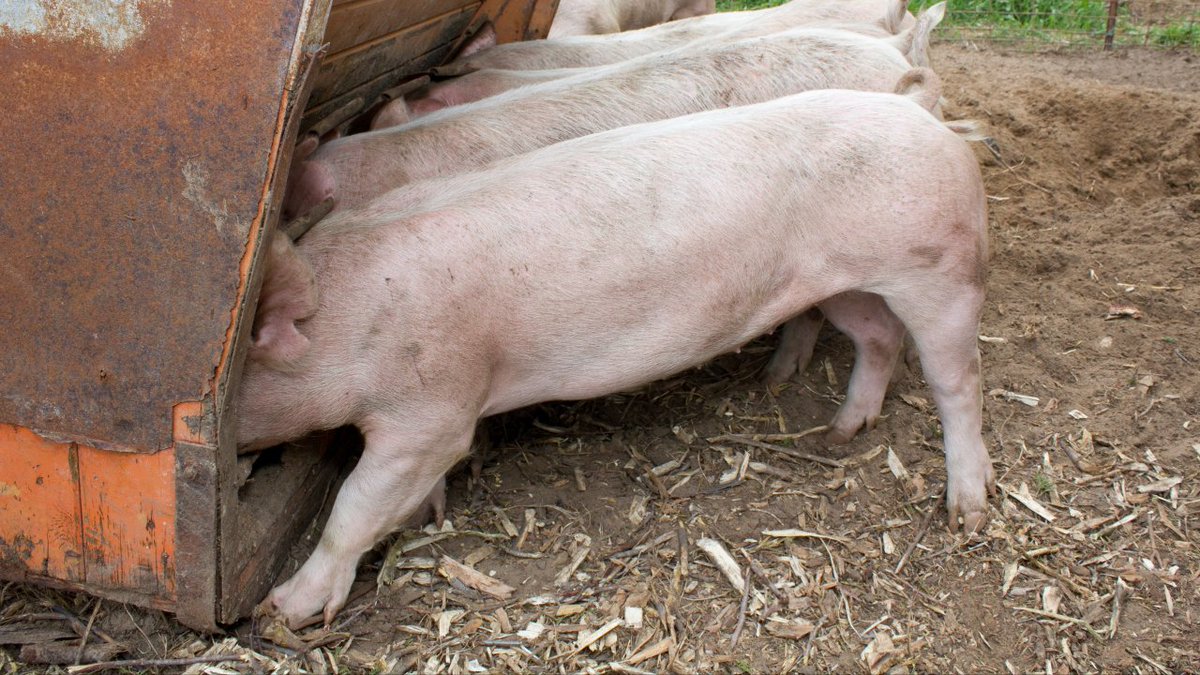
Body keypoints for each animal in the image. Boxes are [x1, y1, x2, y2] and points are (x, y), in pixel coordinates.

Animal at [238, 67, 995, 626]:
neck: (350, 319)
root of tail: (924, 116)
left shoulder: (430, 409)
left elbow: (354, 505)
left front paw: (283, 611)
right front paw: (430, 512)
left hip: (940, 266)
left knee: (959, 380)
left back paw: (966, 510)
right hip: (840, 280)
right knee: (878, 335)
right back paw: (839, 432)